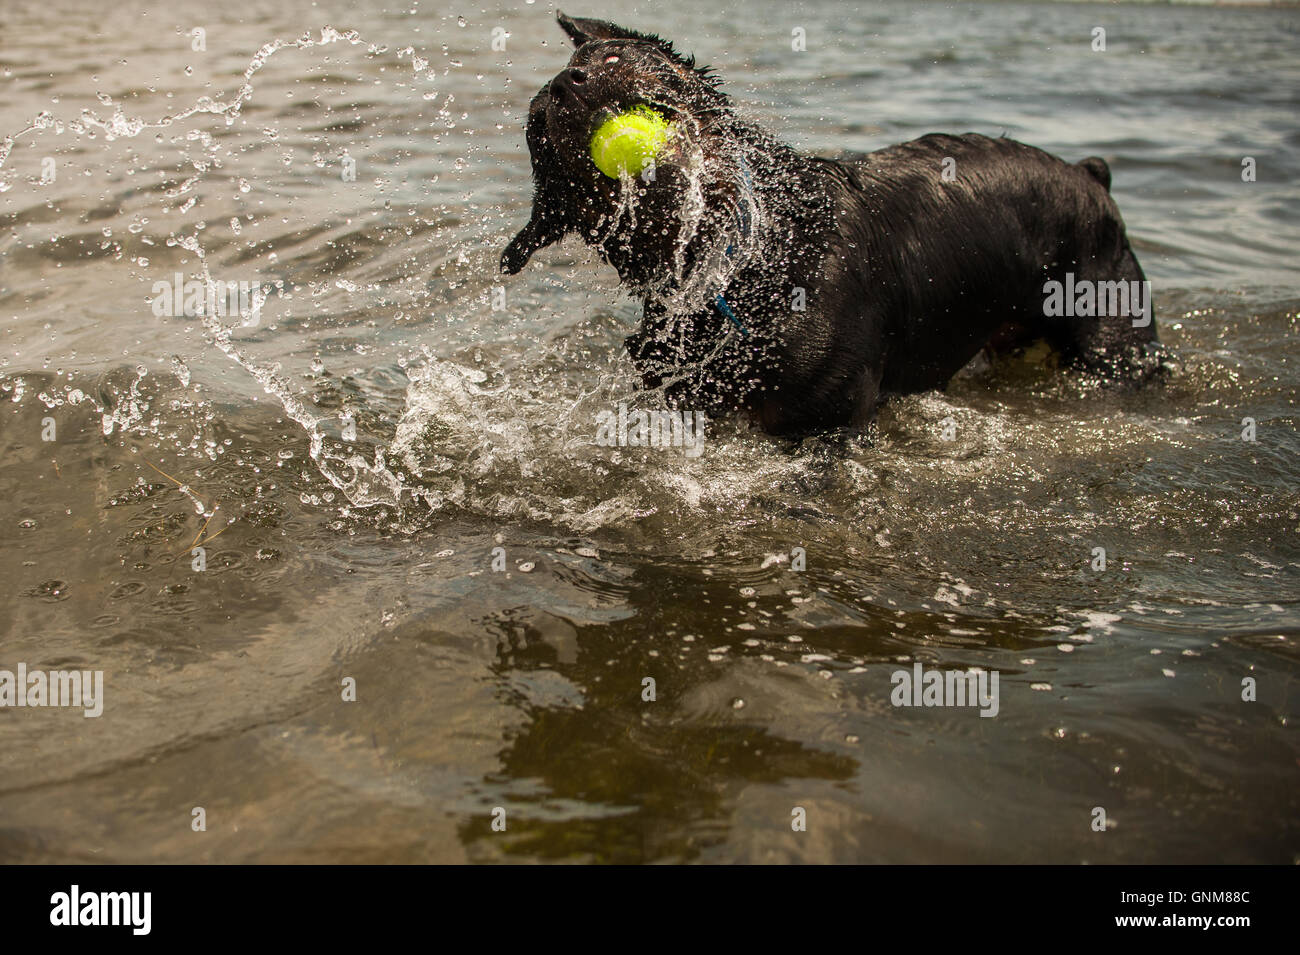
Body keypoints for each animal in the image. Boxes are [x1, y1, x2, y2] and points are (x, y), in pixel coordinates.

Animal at [501, 13, 1164, 439]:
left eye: (613, 58)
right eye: (540, 119)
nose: (566, 85)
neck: (744, 263)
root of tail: (1089, 174)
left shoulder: (829, 421)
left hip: (1115, 340)